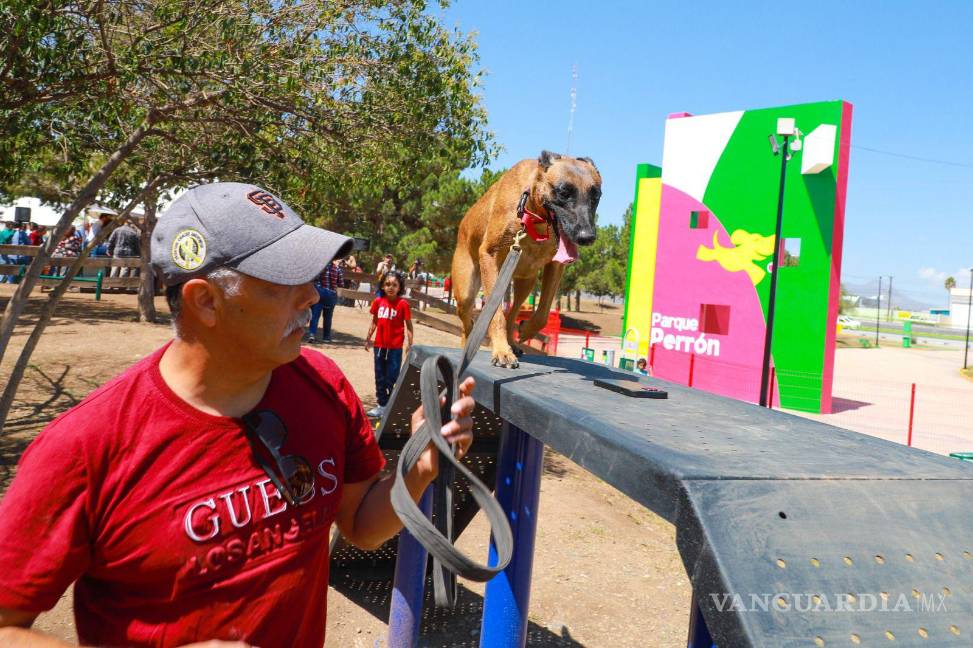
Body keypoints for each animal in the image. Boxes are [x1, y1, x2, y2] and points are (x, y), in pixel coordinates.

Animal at [454, 149, 600, 368]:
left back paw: (512, 340)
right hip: (466, 292)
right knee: (469, 323)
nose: (587, 237)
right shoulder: (490, 254)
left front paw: (525, 330)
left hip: (525, 283)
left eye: (596, 196)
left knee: (512, 313)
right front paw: (502, 351)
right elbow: (495, 314)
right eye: (563, 192)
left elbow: (543, 313)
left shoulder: (555, 266)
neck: (534, 214)